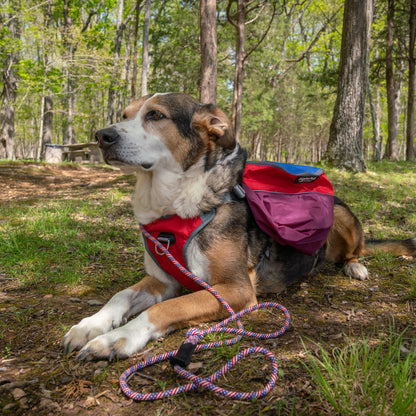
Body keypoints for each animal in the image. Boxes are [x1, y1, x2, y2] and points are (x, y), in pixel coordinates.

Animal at [61, 92, 416, 360]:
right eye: (125, 114)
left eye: (156, 115)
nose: (102, 136)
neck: (176, 208)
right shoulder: (162, 280)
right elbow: (119, 296)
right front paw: (90, 325)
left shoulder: (234, 289)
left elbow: (166, 308)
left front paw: (117, 338)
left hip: (342, 216)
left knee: (357, 250)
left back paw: (355, 267)